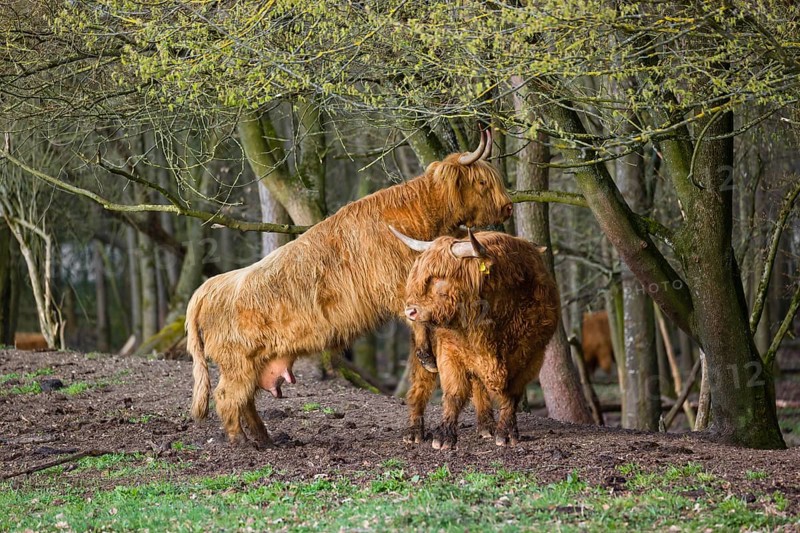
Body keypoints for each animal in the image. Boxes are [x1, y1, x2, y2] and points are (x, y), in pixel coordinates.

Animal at [186, 129, 513, 448]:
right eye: (483, 181)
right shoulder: (398, 287)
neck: (420, 217)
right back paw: (241, 442)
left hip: (254, 363)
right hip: (237, 363)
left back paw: (266, 440)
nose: (508, 207)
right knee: (227, 397)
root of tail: (207, 288)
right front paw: (426, 356)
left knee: (246, 402)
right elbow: (417, 322)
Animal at [393, 228, 560, 448]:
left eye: (439, 276)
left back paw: (486, 426)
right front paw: (444, 437)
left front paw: (506, 433)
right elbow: (454, 393)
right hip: (424, 352)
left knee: (478, 386)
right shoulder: (450, 352)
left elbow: (512, 395)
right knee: (420, 385)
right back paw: (414, 432)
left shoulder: (531, 356)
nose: (410, 310)